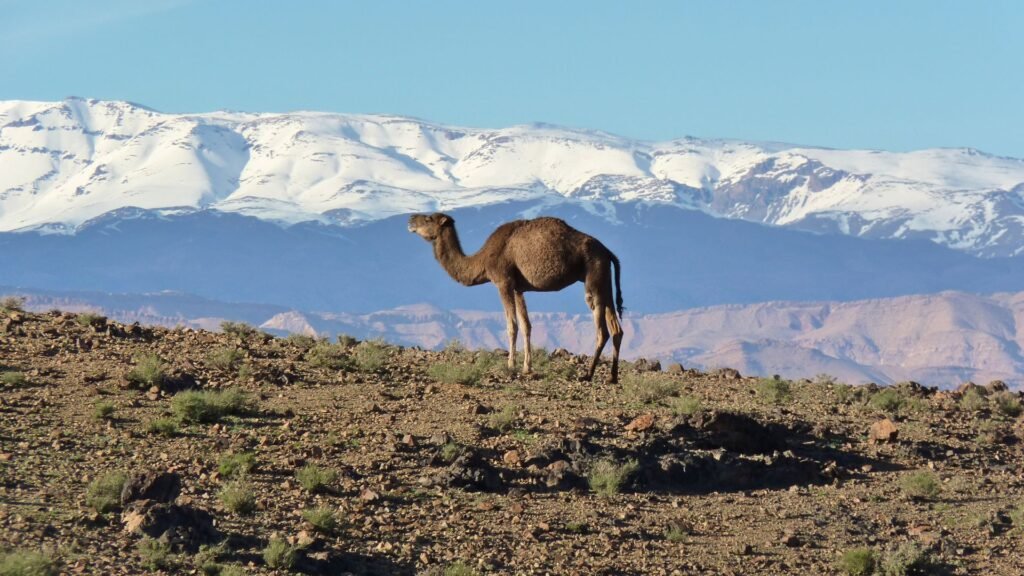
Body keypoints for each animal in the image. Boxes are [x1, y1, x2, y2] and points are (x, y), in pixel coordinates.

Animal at [407, 211, 622, 381]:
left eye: (428, 218)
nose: (410, 220)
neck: (482, 260)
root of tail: (608, 252)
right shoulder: (518, 288)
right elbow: (526, 325)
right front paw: (527, 367)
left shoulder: (503, 282)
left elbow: (512, 325)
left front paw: (510, 365)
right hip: (604, 279)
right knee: (616, 328)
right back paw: (612, 377)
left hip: (593, 275)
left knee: (602, 329)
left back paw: (588, 374)